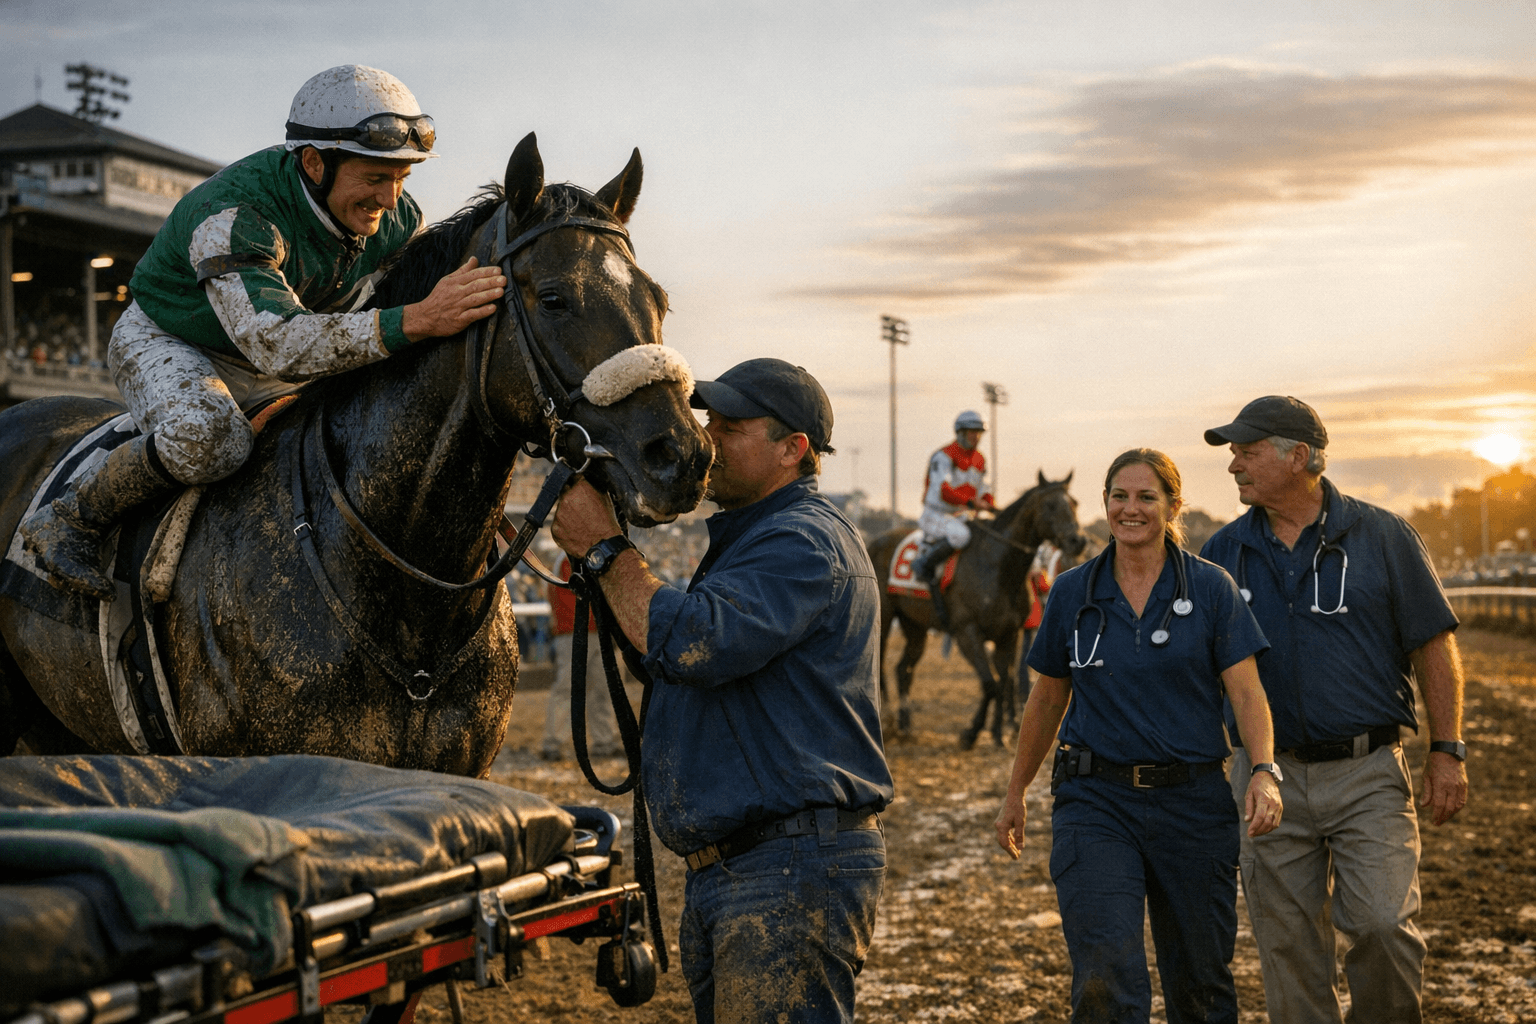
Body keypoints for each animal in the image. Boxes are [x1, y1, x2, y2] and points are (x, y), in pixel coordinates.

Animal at [868, 472, 1087, 750]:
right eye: (1050, 505)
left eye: (1075, 503)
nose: (1078, 541)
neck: (998, 568)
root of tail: (873, 541)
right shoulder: (967, 633)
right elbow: (990, 683)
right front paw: (971, 733)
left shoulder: (1008, 635)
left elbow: (1003, 682)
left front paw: (998, 734)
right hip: (885, 617)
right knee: (879, 664)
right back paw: (885, 719)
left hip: (915, 626)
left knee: (903, 670)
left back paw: (905, 725)